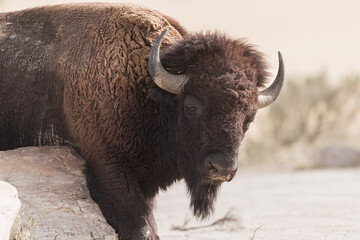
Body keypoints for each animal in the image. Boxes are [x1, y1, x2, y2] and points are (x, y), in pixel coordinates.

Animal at [0, 2, 284, 240]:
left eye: (249, 118)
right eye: (191, 107)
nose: (222, 167)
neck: (146, 88)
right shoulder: (109, 169)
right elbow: (143, 225)